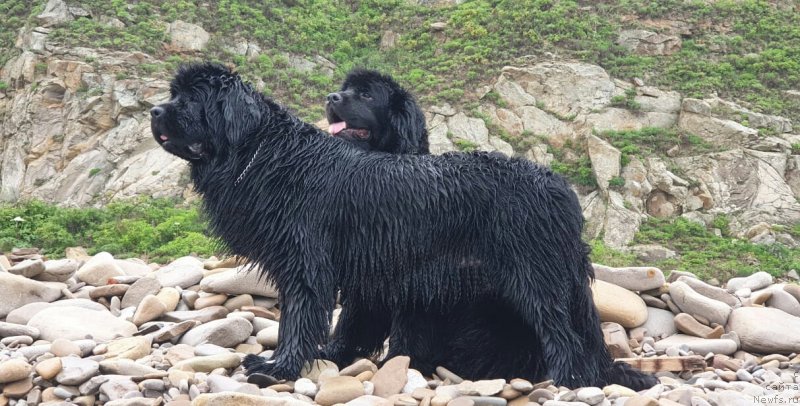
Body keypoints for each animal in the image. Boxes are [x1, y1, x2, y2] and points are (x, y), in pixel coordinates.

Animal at [150, 61, 656, 388]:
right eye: (173, 96)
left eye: (190, 100)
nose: (154, 111)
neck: (263, 153)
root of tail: (560, 187)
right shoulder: (365, 274)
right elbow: (349, 326)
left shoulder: (307, 261)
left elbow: (299, 318)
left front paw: (277, 368)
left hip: (534, 273)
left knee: (562, 333)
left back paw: (569, 382)